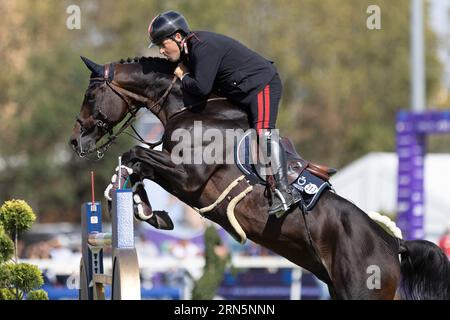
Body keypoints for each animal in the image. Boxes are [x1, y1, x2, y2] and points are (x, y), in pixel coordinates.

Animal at [68, 56, 448, 298]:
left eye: (90, 95)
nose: (75, 141)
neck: (190, 108)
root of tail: (394, 245)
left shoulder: (188, 178)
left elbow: (134, 156)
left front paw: (144, 209)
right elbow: (134, 164)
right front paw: (145, 208)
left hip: (361, 292)